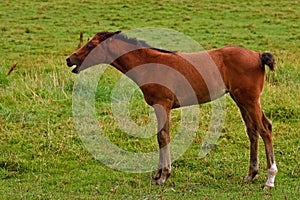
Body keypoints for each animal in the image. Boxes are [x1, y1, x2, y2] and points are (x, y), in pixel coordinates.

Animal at [67, 30, 278, 188]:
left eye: (90, 46)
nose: (69, 59)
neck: (149, 65)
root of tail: (258, 56)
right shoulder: (159, 107)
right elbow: (160, 136)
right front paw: (157, 174)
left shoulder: (163, 105)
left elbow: (163, 136)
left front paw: (163, 175)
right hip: (240, 100)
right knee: (252, 130)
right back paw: (251, 175)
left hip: (250, 100)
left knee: (265, 129)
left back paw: (269, 179)